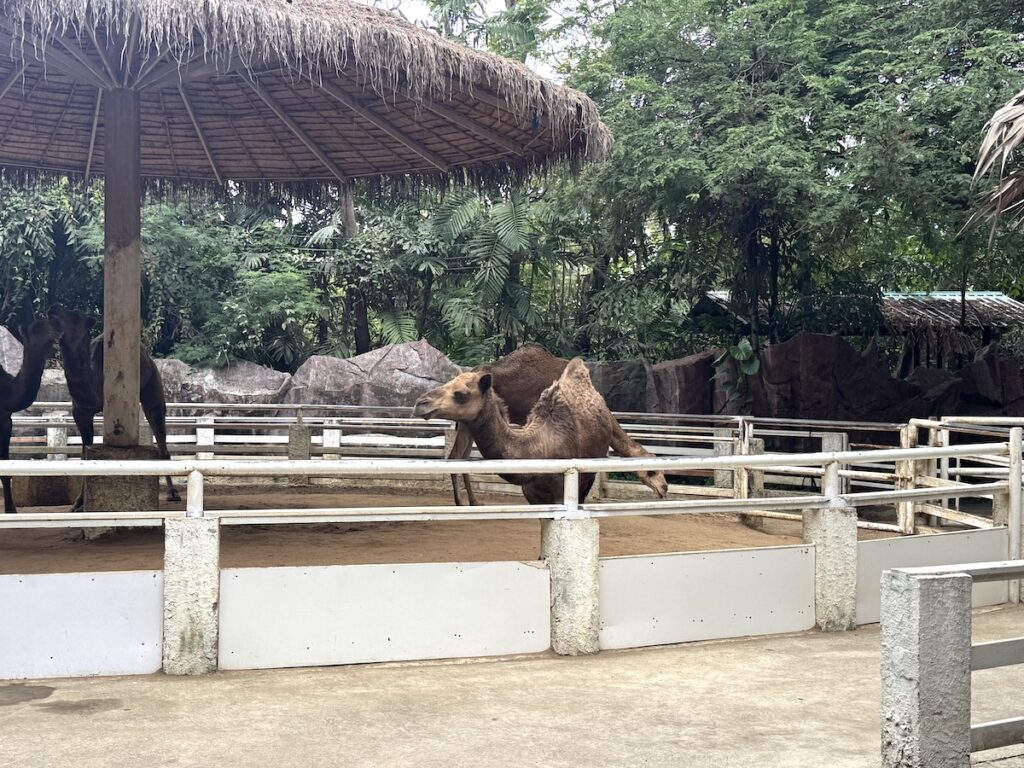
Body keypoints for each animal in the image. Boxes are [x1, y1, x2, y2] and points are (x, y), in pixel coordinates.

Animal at [48, 306, 179, 508]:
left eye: (76, 319)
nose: (52, 309)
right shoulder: (80, 412)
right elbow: (84, 455)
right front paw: (79, 502)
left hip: (153, 386)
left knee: (160, 431)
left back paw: (173, 493)